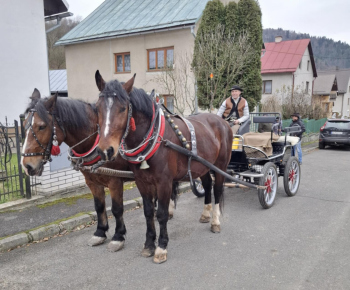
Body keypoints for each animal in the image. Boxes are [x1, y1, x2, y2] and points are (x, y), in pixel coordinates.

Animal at [20, 88, 133, 251]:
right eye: (24, 124)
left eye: (42, 126)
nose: (27, 165)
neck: (96, 141)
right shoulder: (92, 182)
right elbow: (99, 206)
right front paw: (100, 232)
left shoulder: (115, 181)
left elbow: (117, 209)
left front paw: (118, 236)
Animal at [94, 72, 234, 262]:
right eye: (97, 108)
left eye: (123, 108)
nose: (105, 150)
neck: (154, 138)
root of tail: (222, 121)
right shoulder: (142, 181)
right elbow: (148, 212)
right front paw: (149, 244)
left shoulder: (164, 182)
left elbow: (161, 214)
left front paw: (161, 247)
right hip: (202, 166)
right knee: (207, 185)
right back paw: (206, 214)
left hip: (220, 166)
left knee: (217, 190)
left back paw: (215, 222)